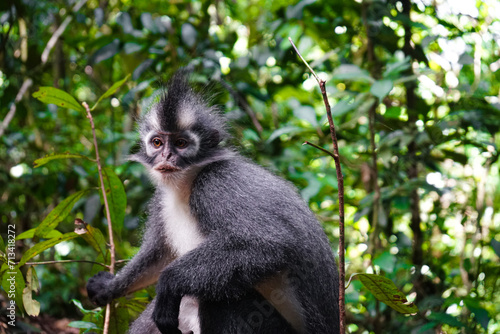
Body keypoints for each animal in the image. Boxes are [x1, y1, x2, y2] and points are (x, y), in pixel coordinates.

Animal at [87, 73, 340, 334]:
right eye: (157, 143)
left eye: (181, 143)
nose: (166, 157)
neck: (187, 183)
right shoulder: (161, 200)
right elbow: (159, 254)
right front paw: (110, 287)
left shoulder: (215, 184)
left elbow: (270, 244)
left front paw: (168, 284)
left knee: (220, 296)